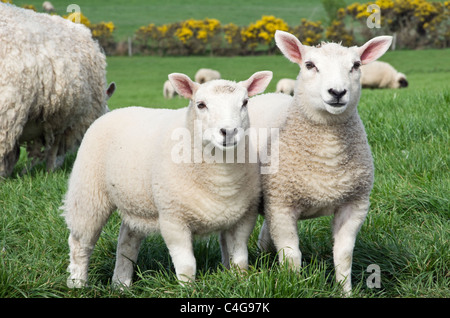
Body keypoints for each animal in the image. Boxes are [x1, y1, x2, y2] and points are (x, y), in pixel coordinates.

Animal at [62, 71, 274, 286]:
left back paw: (121, 284)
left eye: (245, 102)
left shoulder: (243, 218)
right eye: (201, 104)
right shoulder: (173, 219)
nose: (229, 132)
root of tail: (114, 112)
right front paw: (188, 288)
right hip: (88, 193)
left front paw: (242, 282)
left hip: (136, 203)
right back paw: (78, 283)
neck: (221, 177)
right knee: (80, 243)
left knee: (127, 241)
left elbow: (240, 260)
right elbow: (187, 265)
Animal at [251, 31, 392, 294]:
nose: (337, 92)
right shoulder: (282, 205)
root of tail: (268, 95)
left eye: (356, 65)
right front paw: (294, 286)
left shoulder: (355, 204)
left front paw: (346, 292)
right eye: (309, 65)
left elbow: (343, 255)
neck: (328, 158)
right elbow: (291, 256)